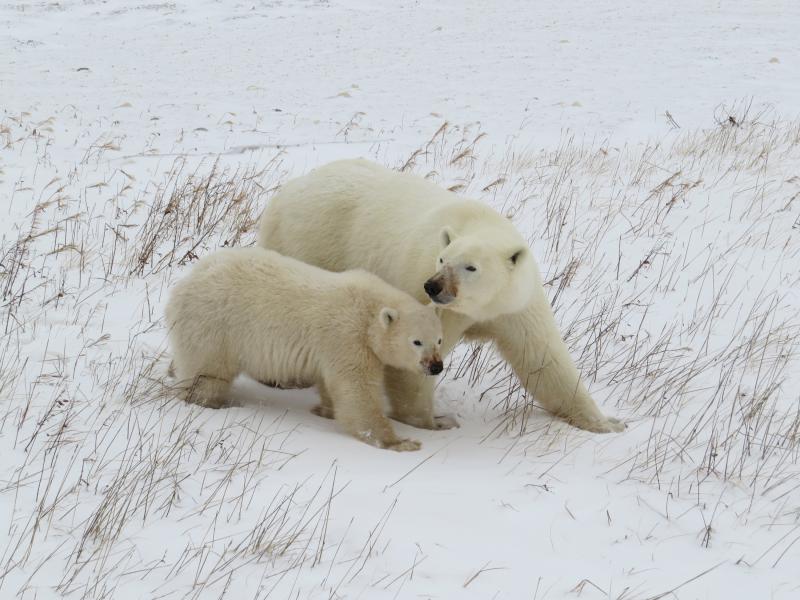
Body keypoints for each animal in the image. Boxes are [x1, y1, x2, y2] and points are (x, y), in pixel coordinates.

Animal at [260, 159, 620, 432]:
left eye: (470, 267)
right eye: (442, 259)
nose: (432, 286)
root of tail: (287, 191)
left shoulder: (515, 304)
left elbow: (544, 359)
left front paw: (607, 423)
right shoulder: (430, 301)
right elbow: (411, 352)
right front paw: (433, 422)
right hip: (309, 245)